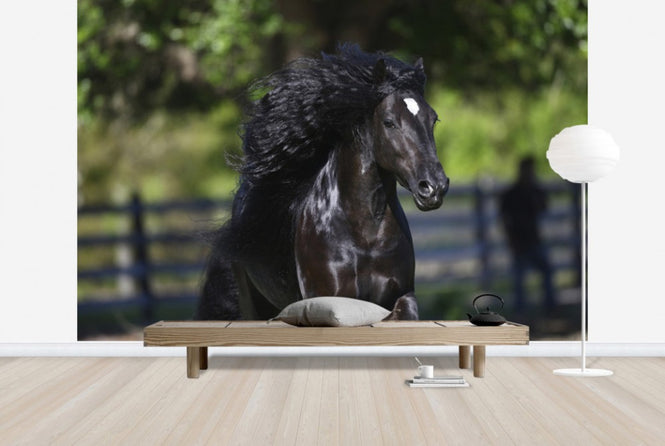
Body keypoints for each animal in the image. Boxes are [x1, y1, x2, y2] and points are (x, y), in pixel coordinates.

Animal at [196, 44, 449, 321]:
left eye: (433, 119)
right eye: (389, 122)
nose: (434, 187)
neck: (366, 237)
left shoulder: (401, 294)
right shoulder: (330, 299)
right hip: (252, 303)